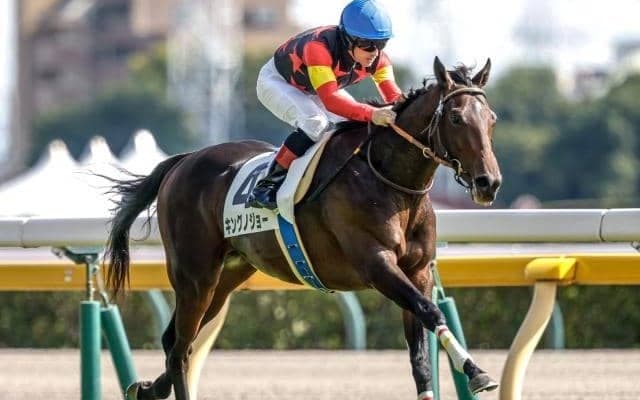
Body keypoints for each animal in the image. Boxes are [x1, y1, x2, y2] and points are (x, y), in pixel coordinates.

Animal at [105, 56, 502, 400]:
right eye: (455, 117)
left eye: (492, 119)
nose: (489, 182)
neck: (388, 180)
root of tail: (184, 160)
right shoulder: (376, 265)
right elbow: (431, 311)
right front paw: (477, 372)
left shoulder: (417, 272)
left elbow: (420, 351)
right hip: (194, 277)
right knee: (180, 349)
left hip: (225, 279)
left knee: (177, 342)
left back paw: (145, 389)